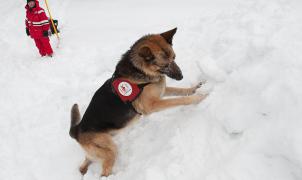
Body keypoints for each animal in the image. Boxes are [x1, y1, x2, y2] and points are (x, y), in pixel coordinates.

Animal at [69, 27, 208, 176]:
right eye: (165, 65)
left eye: (174, 58)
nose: (181, 76)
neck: (140, 70)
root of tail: (77, 130)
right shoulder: (152, 105)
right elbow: (180, 99)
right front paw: (199, 97)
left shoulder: (162, 91)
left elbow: (180, 91)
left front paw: (195, 88)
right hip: (110, 150)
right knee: (104, 171)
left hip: (100, 149)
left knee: (86, 161)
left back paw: (83, 170)